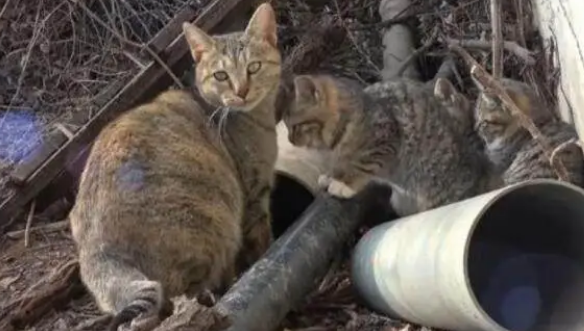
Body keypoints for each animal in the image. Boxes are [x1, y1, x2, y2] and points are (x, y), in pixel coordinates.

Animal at [286, 74, 496, 217]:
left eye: (295, 126)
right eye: (286, 126)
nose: (289, 140)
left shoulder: (386, 139)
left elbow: (362, 166)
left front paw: (344, 185)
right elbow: (341, 165)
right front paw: (332, 176)